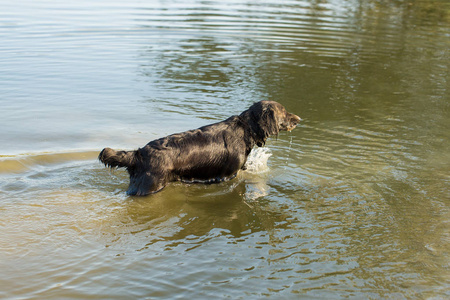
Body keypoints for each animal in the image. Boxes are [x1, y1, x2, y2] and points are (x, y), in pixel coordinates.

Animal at [100, 99, 300, 196]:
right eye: (284, 112)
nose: (299, 119)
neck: (246, 128)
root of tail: (138, 154)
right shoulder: (228, 175)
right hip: (150, 186)